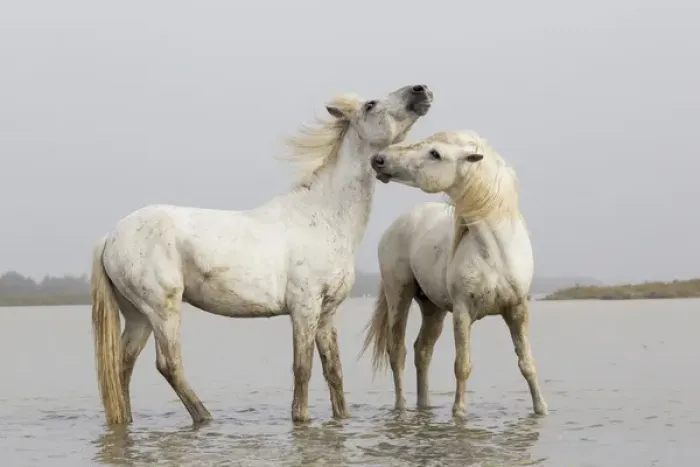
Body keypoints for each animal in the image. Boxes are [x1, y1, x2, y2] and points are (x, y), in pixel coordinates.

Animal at [91, 84, 434, 426]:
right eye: (370, 105)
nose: (421, 90)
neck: (324, 216)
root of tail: (110, 237)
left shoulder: (326, 313)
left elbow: (333, 371)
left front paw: (342, 418)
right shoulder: (304, 308)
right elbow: (303, 369)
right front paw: (300, 418)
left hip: (139, 315)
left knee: (123, 363)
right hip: (163, 310)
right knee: (168, 364)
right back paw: (205, 417)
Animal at [360, 130, 548, 417]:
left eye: (435, 154)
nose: (379, 159)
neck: (494, 251)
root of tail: (400, 222)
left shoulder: (517, 309)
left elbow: (526, 362)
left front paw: (541, 409)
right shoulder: (462, 313)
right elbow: (463, 365)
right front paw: (459, 412)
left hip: (433, 308)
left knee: (422, 351)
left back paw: (424, 406)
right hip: (398, 295)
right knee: (397, 352)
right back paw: (401, 408)